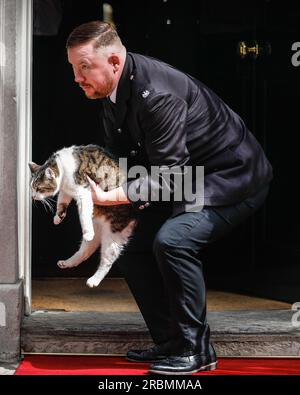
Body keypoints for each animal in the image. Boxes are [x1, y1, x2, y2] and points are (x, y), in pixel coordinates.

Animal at [28, 145, 137, 288]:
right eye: (31, 188)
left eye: (38, 188)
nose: (32, 197)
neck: (63, 168)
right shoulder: (65, 191)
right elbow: (61, 202)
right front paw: (58, 217)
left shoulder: (84, 192)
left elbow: (84, 214)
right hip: (95, 230)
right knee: (85, 251)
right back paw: (68, 262)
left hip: (113, 236)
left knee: (107, 261)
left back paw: (94, 280)